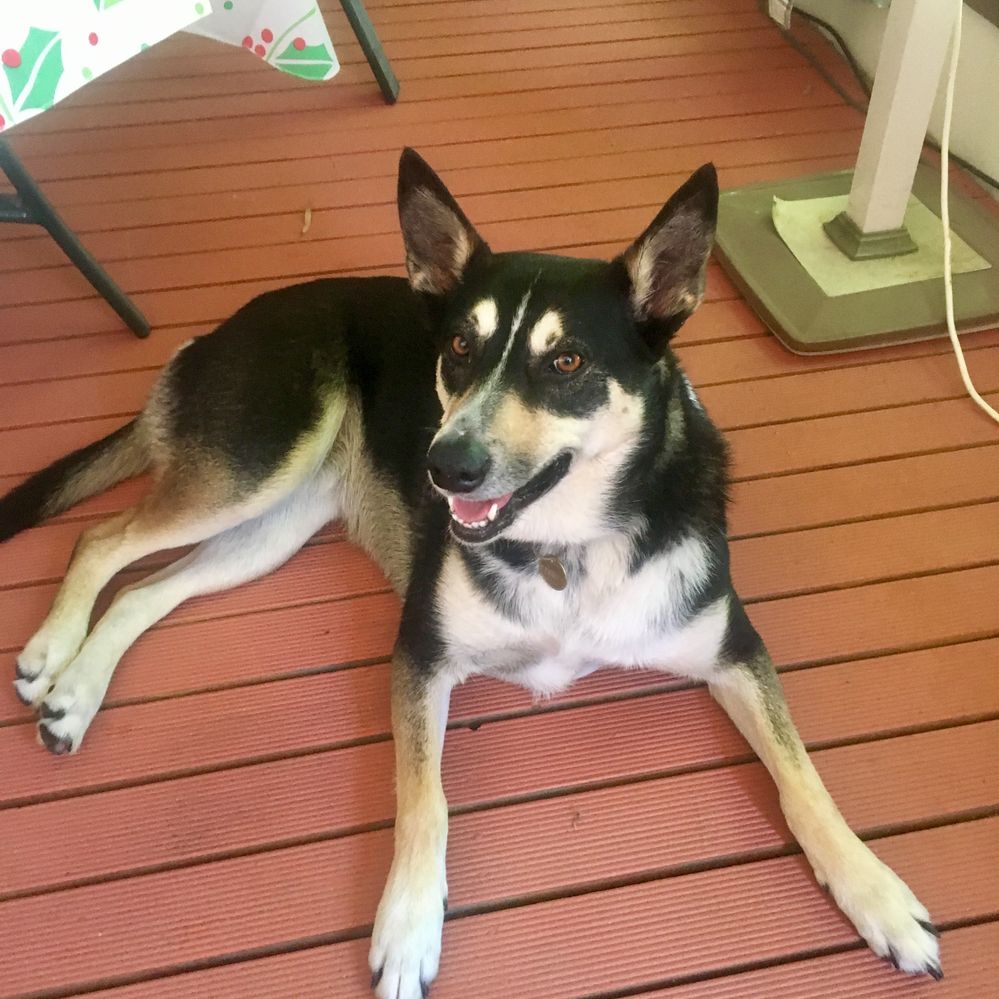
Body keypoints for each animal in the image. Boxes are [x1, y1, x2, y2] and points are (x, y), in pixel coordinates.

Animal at [1, 149, 942, 997]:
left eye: (567, 363)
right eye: (458, 346)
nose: (442, 466)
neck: (568, 549)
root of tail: (219, 328)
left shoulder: (733, 648)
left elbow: (804, 777)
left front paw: (877, 893)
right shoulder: (423, 652)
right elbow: (427, 800)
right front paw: (409, 926)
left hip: (271, 521)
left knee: (144, 585)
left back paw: (75, 694)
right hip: (254, 466)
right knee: (101, 538)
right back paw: (53, 651)